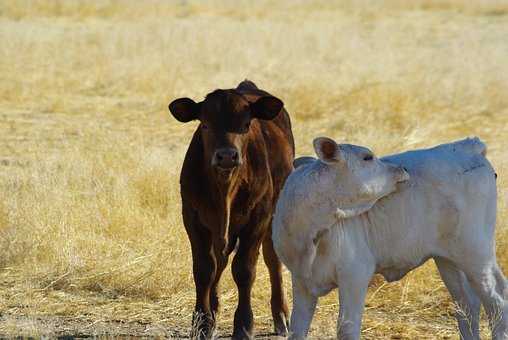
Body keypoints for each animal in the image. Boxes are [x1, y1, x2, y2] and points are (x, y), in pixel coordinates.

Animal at [169, 81, 294, 338]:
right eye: (205, 124)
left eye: (246, 124)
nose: (227, 155)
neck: (224, 191)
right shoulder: (192, 217)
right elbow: (204, 269)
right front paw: (202, 322)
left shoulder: (258, 218)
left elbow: (244, 270)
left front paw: (244, 325)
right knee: (219, 261)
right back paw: (214, 308)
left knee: (272, 259)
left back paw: (281, 316)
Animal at [272, 137, 506, 338]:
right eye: (367, 157)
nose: (402, 169)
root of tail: (468, 146)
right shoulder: (302, 281)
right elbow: (297, 329)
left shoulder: (355, 273)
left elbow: (346, 329)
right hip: (449, 259)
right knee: (466, 305)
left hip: (476, 252)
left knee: (497, 299)